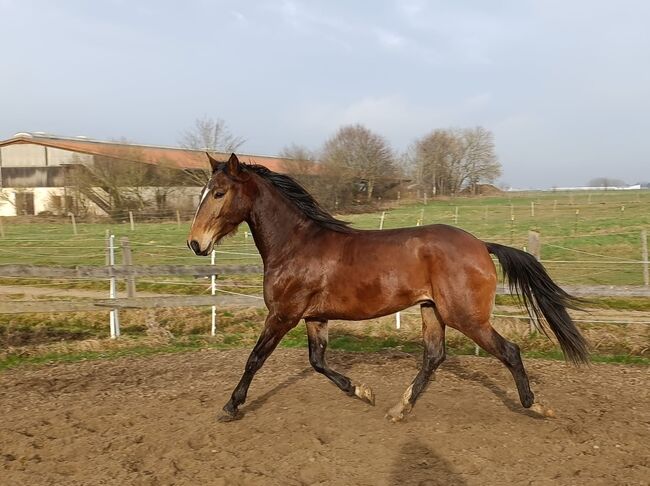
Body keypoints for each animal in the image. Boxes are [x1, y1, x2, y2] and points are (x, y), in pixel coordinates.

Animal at [187, 153, 588, 422]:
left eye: (219, 193)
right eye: (204, 192)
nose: (195, 243)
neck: (295, 245)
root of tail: (481, 245)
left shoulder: (283, 314)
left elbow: (255, 359)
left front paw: (230, 406)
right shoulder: (313, 317)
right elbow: (318, 362)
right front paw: (364, 392)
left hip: (466, 316)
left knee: (509, 351)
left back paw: (537, 406)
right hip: (431, 310)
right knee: (434, 357)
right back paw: (399, 408)